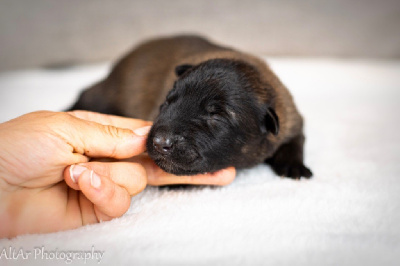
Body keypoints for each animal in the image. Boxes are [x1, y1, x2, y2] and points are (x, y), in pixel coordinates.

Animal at [70, 34, 310, 179]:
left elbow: (296, 140)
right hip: (108, 92)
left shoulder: (291, 118)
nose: (160, 142)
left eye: (216, 116)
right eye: (167, 102)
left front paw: (293, 165)